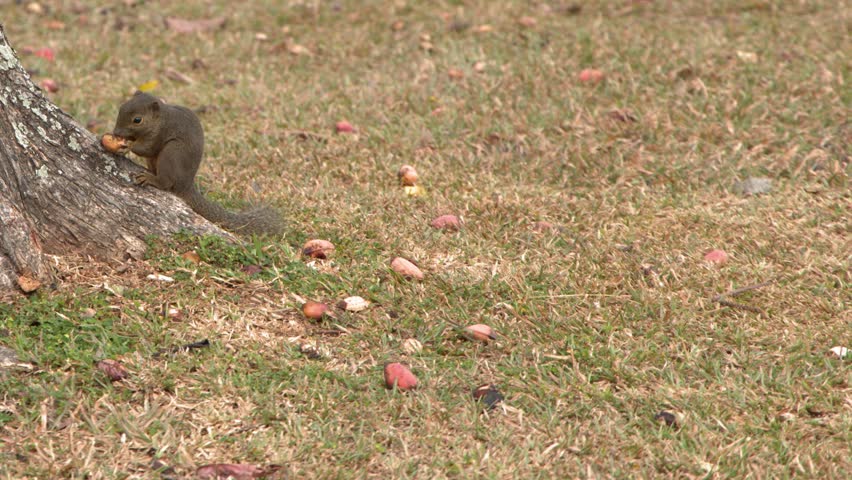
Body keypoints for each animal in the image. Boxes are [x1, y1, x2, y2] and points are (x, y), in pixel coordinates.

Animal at [111, 91, 283, 236]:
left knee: (166, 182)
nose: (116, 133)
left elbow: (145, 148)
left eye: (137, 120)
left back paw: (152, 179)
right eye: (121, 107)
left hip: (172, 152)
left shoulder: (159, 134)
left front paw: (127, 146)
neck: (161, 119)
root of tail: (186, 185)